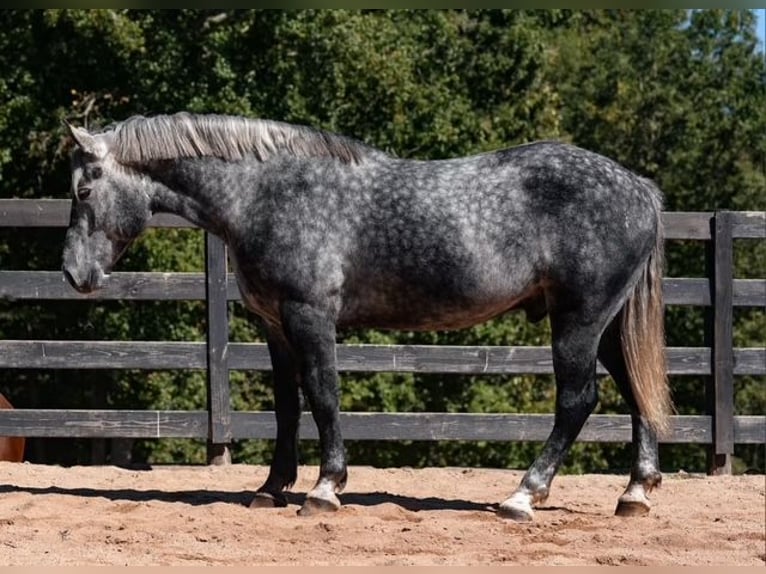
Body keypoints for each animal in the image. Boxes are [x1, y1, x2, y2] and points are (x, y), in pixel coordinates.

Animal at [61, 112, 672, 521]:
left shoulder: (310, 317)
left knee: (578, 400)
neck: (267, 194)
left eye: (84, 189)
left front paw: (325, 488)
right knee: (636, 392)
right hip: (606, 324)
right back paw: (634, 494)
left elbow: (323, 395)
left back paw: (523, 495)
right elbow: (288, 406)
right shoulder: (275, 327)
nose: (72, 273)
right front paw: (272, 487)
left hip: (578, 321)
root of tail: (639, 187)